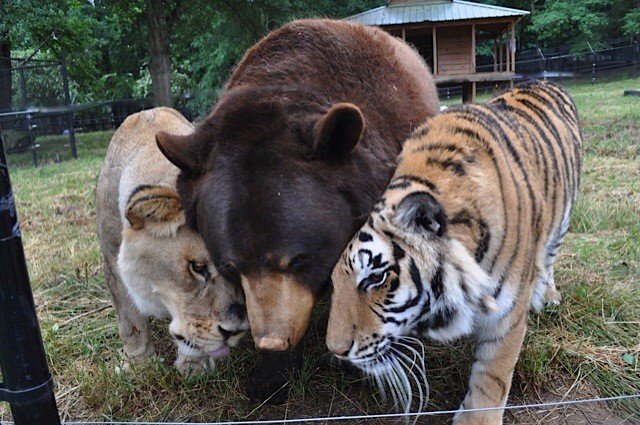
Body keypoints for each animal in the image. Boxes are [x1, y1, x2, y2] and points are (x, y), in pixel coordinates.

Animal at [328, 80, 584, 424]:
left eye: (375, 278)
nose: (335, 350)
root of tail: (545, 81)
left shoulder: (507, 312)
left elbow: (492, 374)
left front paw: (477, 419)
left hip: (563, 219)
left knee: (549, 256)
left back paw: (548, 295)